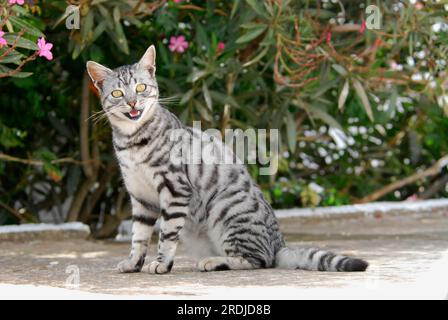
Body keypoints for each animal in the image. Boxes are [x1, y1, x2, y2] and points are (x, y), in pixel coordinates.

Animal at [86, 45, 368, 274]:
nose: (133, 102)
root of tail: (280, 245)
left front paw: (161, 264)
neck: (132, 142)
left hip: (225, 209)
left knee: (258, 260)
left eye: (141, 88)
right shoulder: (140, 197)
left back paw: (214, 262)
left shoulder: (175, 189)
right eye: (118, 93)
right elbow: (139, 236)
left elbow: (166, 234)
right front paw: (133, 263)